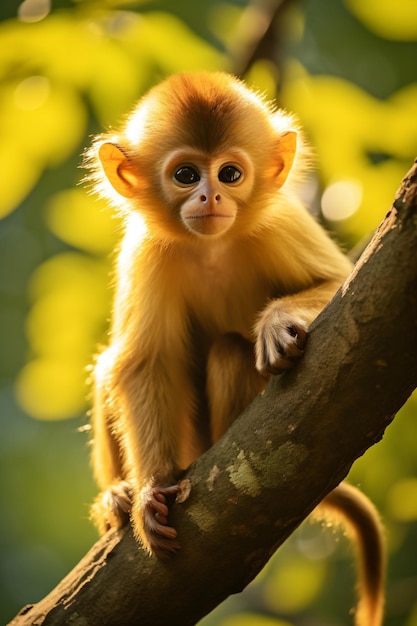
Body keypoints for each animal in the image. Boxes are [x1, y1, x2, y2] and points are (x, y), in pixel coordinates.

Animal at [85, 72, 384, 624]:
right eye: (185, 174)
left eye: (229, 173)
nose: (209, 197)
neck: (211, 248)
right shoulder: (146, 251)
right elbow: (143, 363)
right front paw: (146, 496)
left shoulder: (281, 221)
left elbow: (340, 280)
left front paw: (278, 321)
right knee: (110, 365)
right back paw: (116, 497)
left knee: (229, 349)